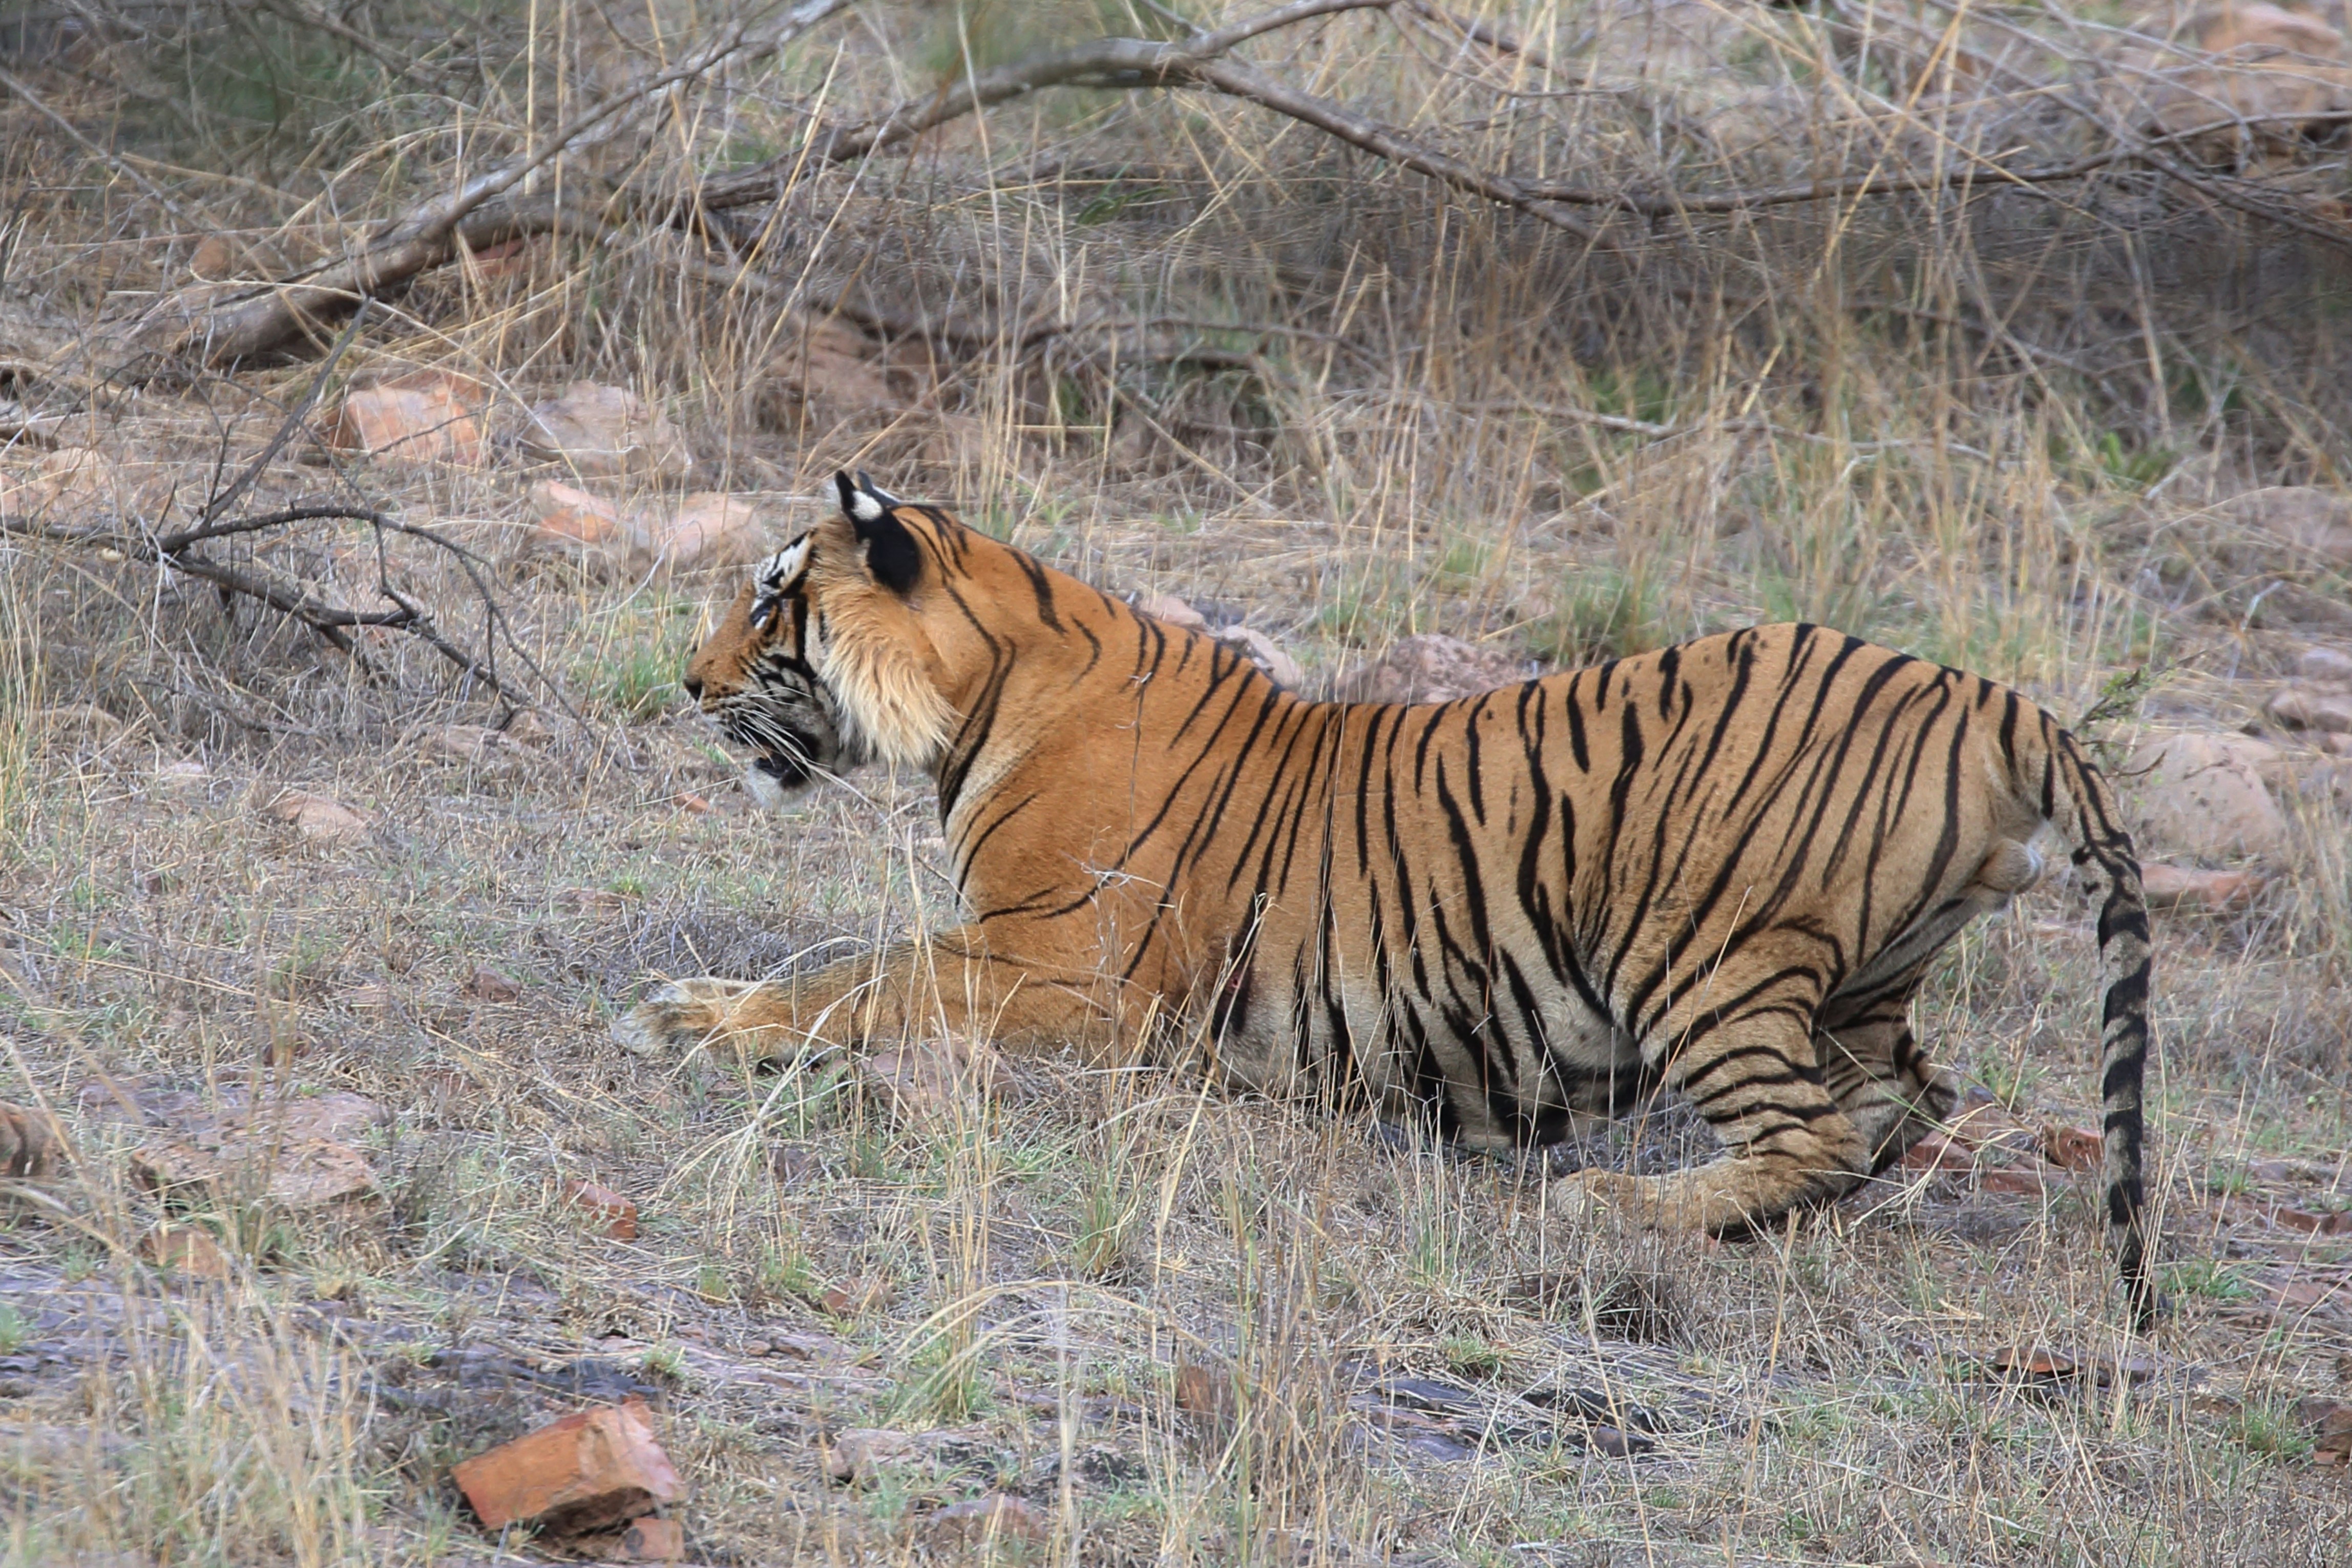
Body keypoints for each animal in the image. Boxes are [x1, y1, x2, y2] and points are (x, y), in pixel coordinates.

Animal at [616, 471, 2156, 1325]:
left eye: (771, 602)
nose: (684, 682)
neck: (985, 682)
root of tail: (1999, 700)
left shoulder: (1062, 967)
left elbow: (854, 975)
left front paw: (685, 1015)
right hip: (1863, 980)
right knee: (1897, 1108)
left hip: (1698, 949)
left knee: (1815, 1131)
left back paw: (1612, 1202)